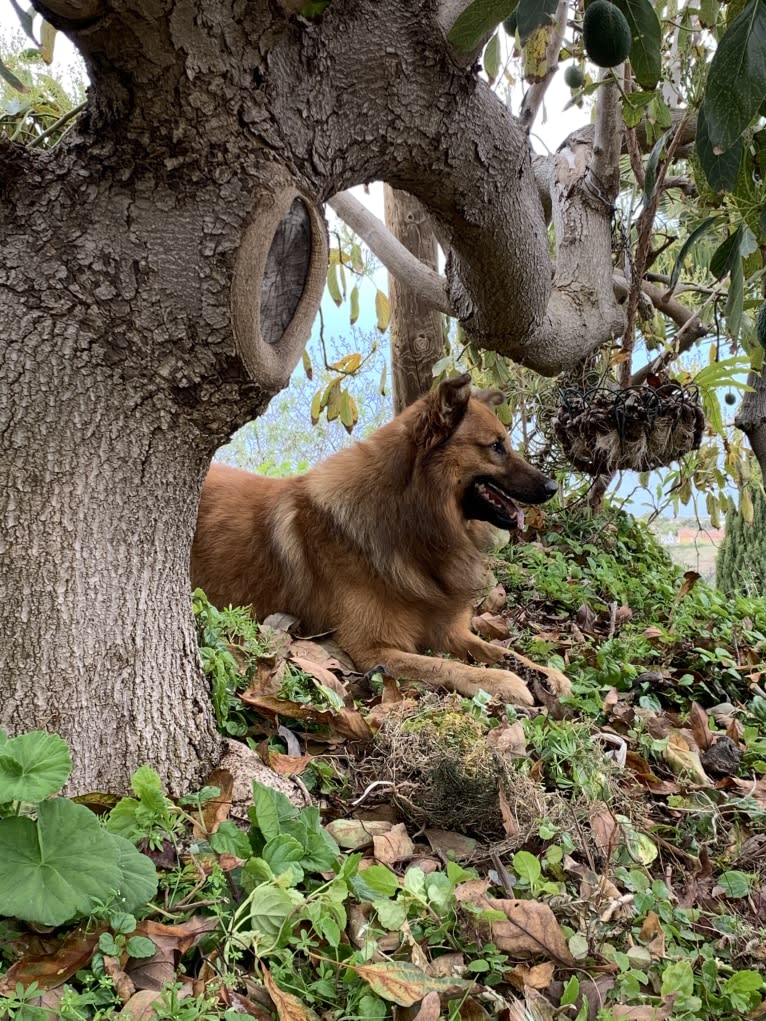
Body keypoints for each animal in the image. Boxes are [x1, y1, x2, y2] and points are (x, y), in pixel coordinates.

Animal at [193, 377, 571, 710]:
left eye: (506, 443)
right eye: (496, 447)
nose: (553, 487)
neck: (408, 521)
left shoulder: (450, 631)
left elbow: (501, 651)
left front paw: (546, 673)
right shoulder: (374, 650)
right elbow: (446, 665)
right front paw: (502, 680)